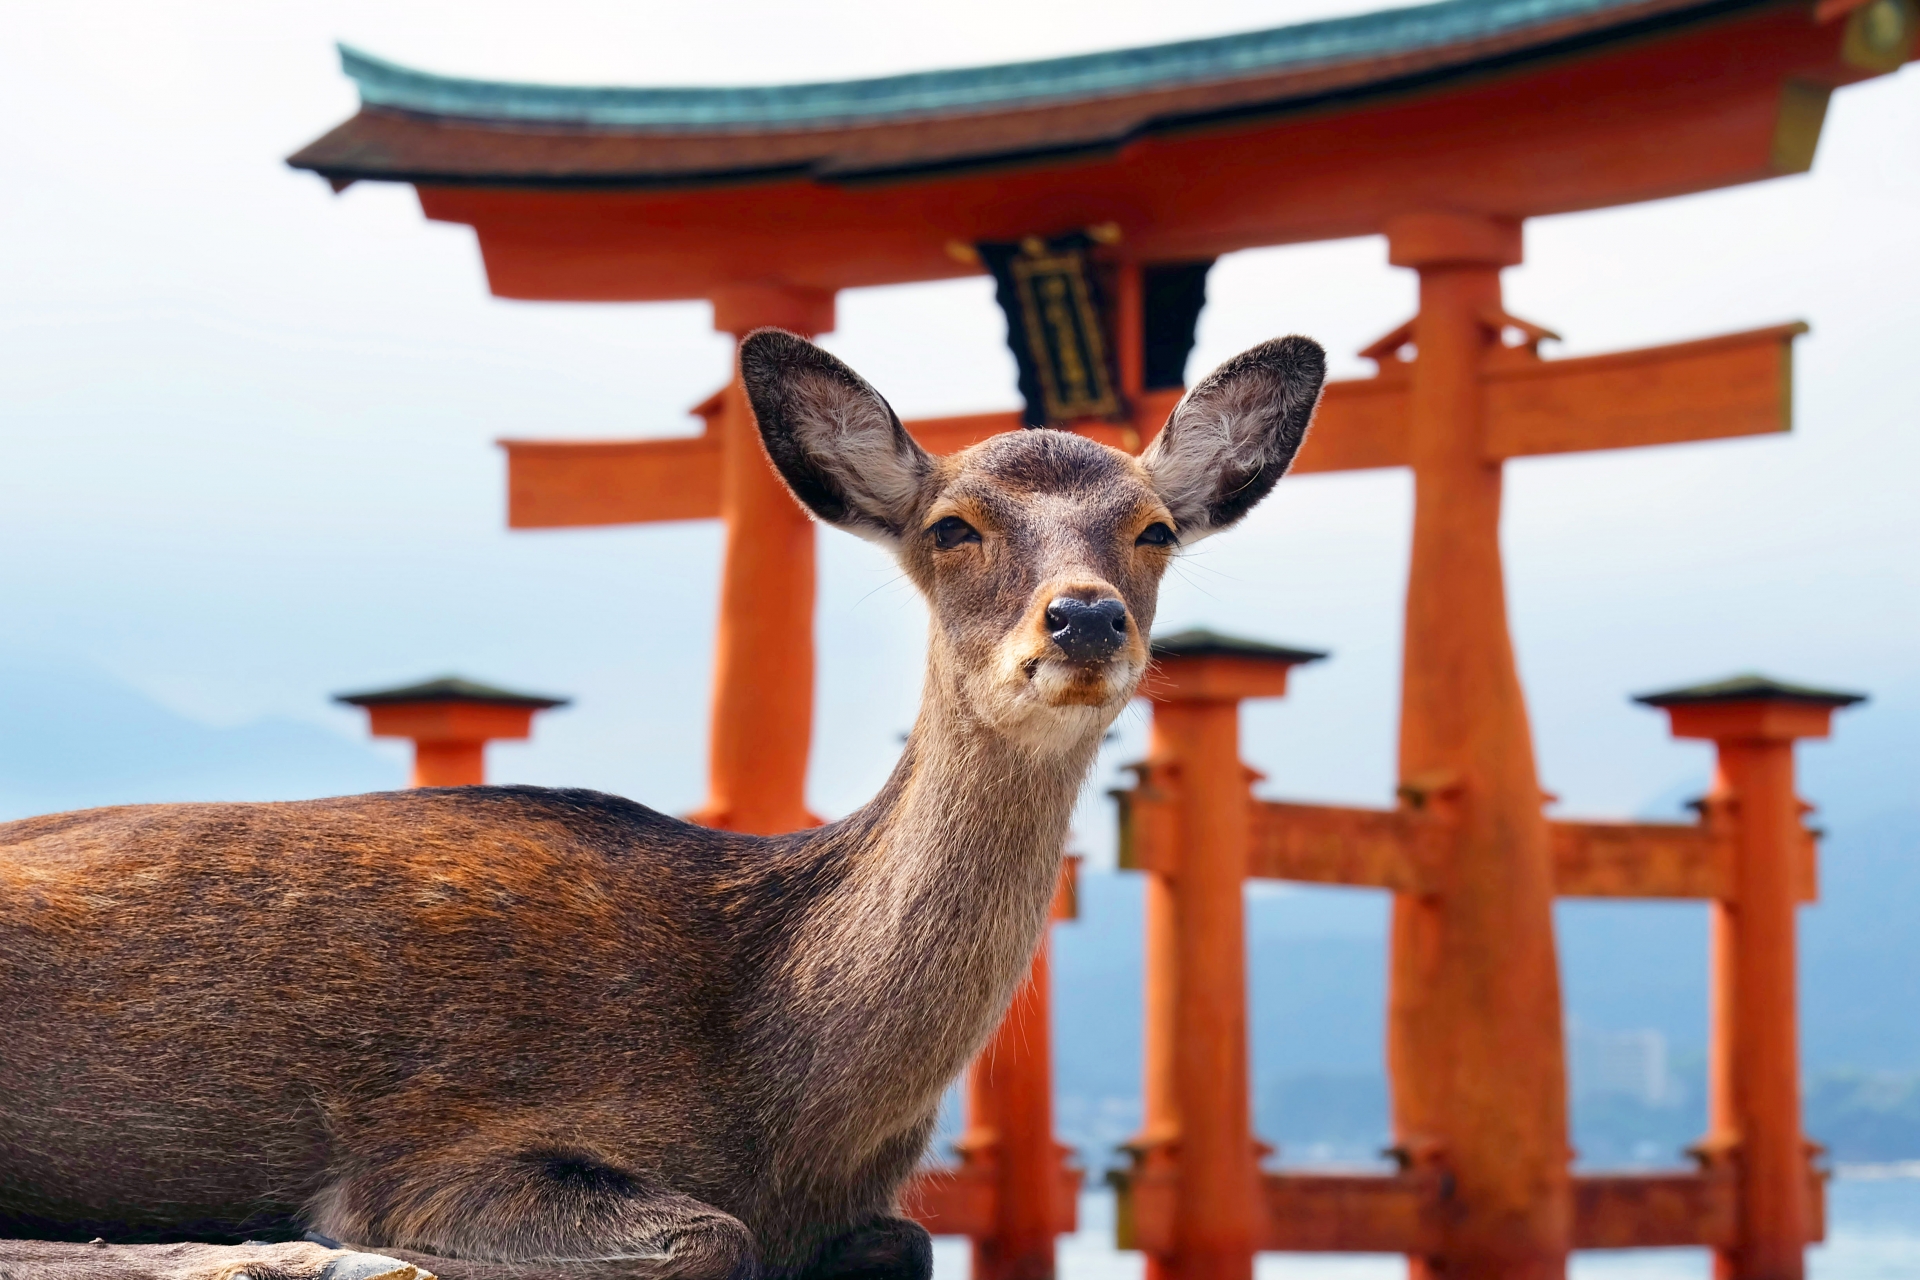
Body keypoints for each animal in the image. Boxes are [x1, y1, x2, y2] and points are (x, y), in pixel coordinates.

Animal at [0, 330, 1320, 1280]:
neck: (784, 1092)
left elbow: (905, 1238)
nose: (1085, 615)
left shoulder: (874, 1207)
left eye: (1155, 528)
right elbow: (709, 1235)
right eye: (953, 526)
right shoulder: (432, 1142)